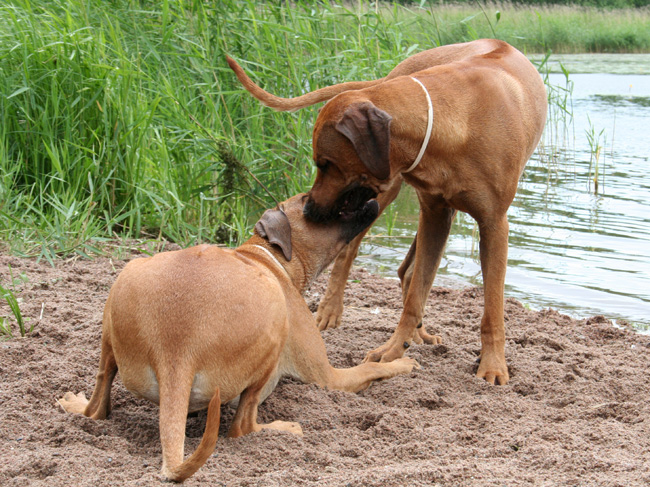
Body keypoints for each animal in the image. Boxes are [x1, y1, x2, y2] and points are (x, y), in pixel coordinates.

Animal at [59, 195, 416, 484]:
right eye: (307, 199)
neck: (265, 255)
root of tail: (176, 348)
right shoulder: (327, 376)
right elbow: (371, 368)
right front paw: (403, 363)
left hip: (120, 295)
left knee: (99, 399)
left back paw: (79, 405)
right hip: (274, 325)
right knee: (241, 427)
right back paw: (280, 429)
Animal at [228, 40, 548, 386]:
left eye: (325, 163)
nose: (310, 209)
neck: (452, 120)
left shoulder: (491, 224)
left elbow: (491, 309)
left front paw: (492, 365)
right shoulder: (434, 211)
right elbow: (414, 300)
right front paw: (393, 351)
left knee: (408, 271)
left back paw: (421, 334)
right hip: (386, 193)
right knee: (355, 253)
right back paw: (331, 310)